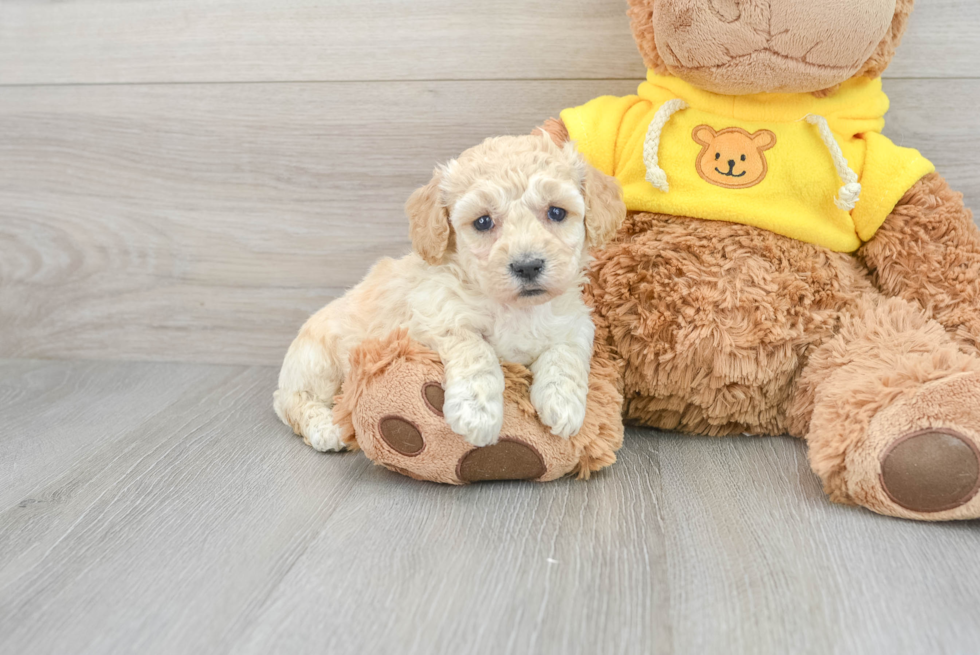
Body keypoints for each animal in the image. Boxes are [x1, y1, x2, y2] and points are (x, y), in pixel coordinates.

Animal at [274, 133, 628, 452]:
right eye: (483, 222)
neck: (516, 309)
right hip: (318, 363)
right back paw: (326, 428)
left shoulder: (575, 322)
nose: (527, 266)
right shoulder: (436, 314)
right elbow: (476, 351)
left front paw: (563, 405)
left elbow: (565, 355)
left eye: (556, 212)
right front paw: (477, 413)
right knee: (292, 400)